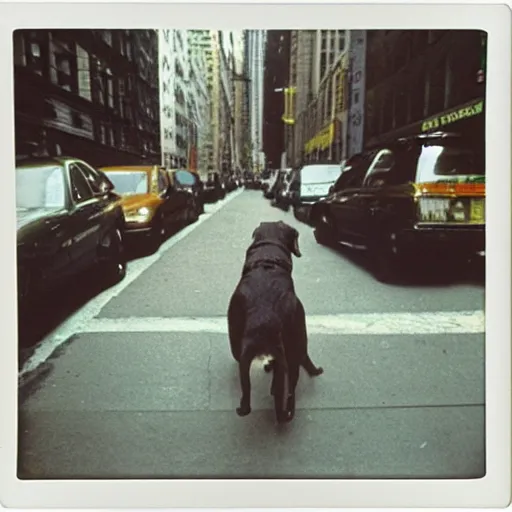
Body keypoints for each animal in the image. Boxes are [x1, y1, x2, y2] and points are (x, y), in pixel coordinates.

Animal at [228, 221, 324, 424]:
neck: (267, 261)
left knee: (248, 397)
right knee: (288, 389)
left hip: (244, 357)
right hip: (292, 348)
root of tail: (263, 326)